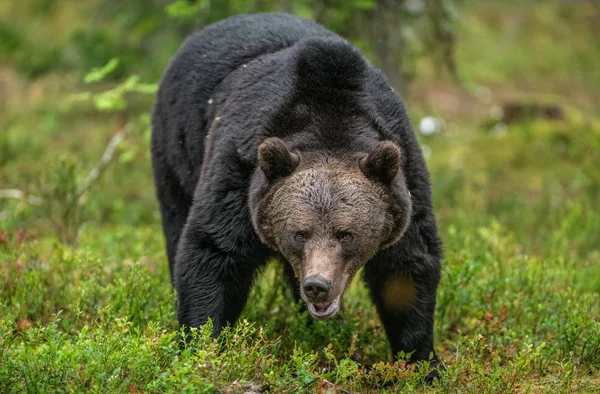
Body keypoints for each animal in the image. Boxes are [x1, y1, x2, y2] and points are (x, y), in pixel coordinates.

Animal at [151, 12, 440, 374]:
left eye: (347, 234)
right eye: (299, 233)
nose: (317, 285)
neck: (330, 118)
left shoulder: (403, 176)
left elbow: (406, 271)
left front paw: (423, 363)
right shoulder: (239, 170)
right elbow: (213, 252)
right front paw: (202, 348)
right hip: (177, 153)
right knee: (176, 223)